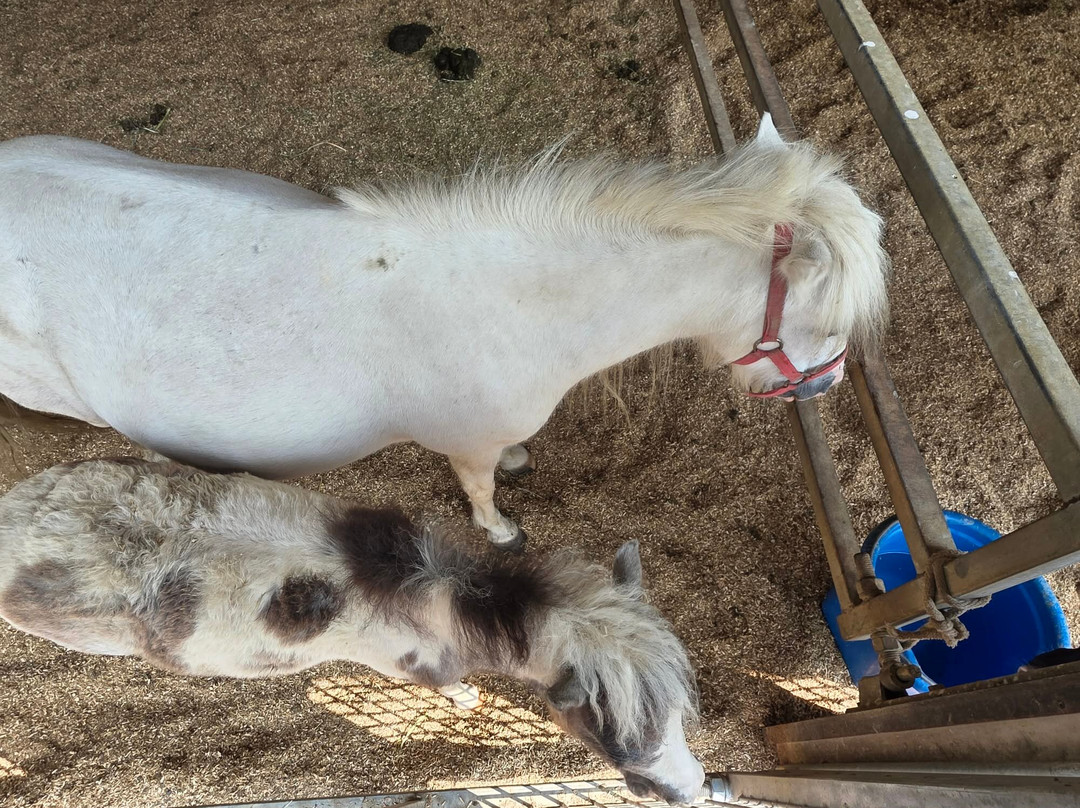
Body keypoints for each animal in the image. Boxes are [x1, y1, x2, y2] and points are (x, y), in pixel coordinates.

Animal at [0, 114, 888, 550]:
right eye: (823, 322)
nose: (830, 383)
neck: (517, 301)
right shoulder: (467, 440)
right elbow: (481, 486)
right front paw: (502, 530)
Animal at [0, 457, 704, 803]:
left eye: (678, 711)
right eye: (612, 735)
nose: (692, 790)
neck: (437, 599)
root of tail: (17, 517)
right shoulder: (413, 665)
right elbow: (448, 689)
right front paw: (469, 699)